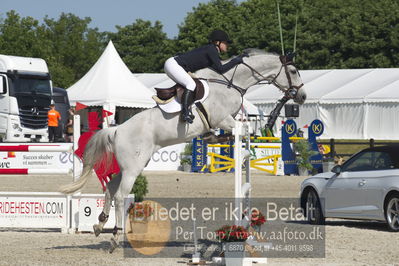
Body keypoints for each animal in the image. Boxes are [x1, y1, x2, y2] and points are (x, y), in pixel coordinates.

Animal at [59, 49, 306, 251]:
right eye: (294, 71)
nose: (302, 97)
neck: (231, 83)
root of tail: (117, 129)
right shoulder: (224, 119)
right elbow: (242, 128)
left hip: (133, 164)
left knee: (110, 188)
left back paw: (100, 224)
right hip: (132, 168)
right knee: (120, 196)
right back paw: (114, 238)